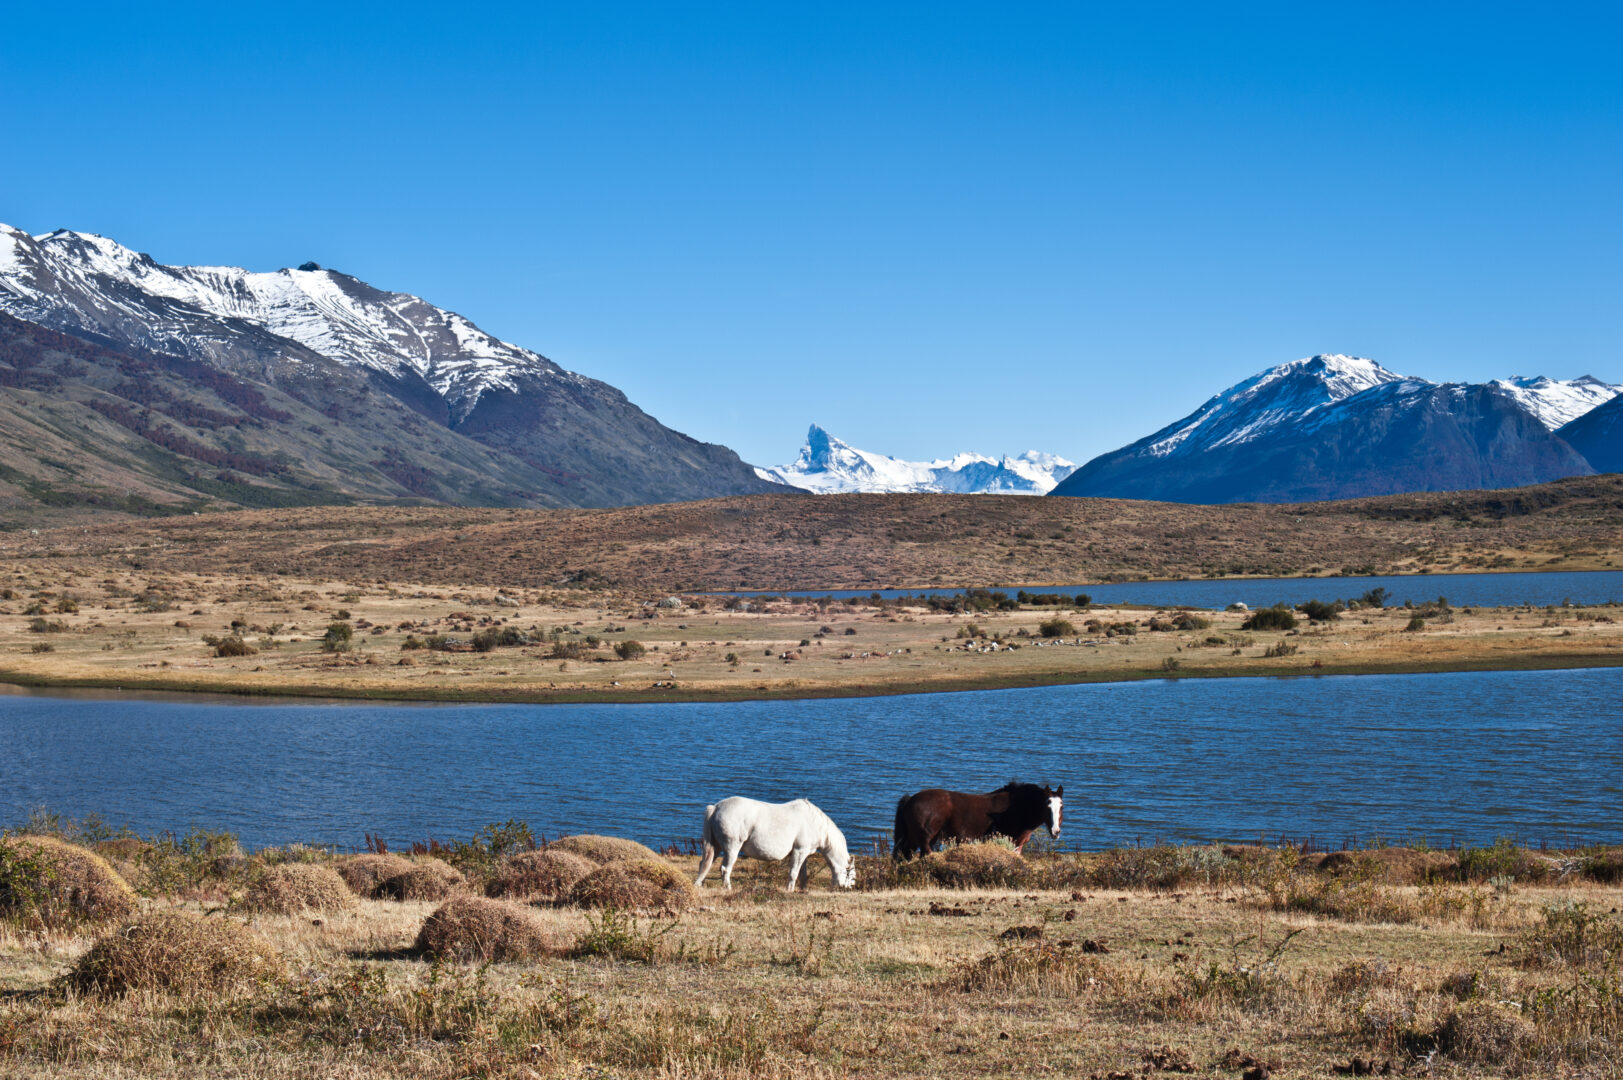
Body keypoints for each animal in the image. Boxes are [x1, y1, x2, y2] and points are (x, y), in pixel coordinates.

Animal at [695, 796, 858, 891]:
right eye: (851, 874)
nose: (848, 888)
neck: (814, 823)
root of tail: (716, 807)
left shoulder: (802, 854)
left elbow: (802, 874)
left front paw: (803, 890)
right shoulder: (799, 851)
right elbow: (793, 873)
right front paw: (789, 891)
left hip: (715, 847)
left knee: (704, 864)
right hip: (732, 848)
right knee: (725, 869)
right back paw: (728, 889)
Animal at [892, 782, 1063, 859]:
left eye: (1061, 806)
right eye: (1047, 806)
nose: (1055, 832)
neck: (1017, 808)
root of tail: (909, 800)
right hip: (924, 839)